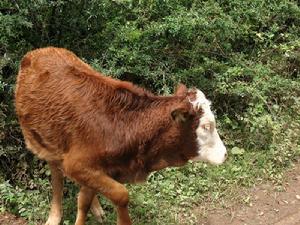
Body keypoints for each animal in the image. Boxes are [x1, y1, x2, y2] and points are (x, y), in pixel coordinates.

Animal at [15, 46, 226, 224]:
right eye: (206, 126)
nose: (225, 154)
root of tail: (41, 51)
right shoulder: (76, 164)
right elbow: (121, 194)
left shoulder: (95, 168)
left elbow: (84, 200)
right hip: (44, 141)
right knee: (57, 178)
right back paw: (55, 216)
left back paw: (97, 208)